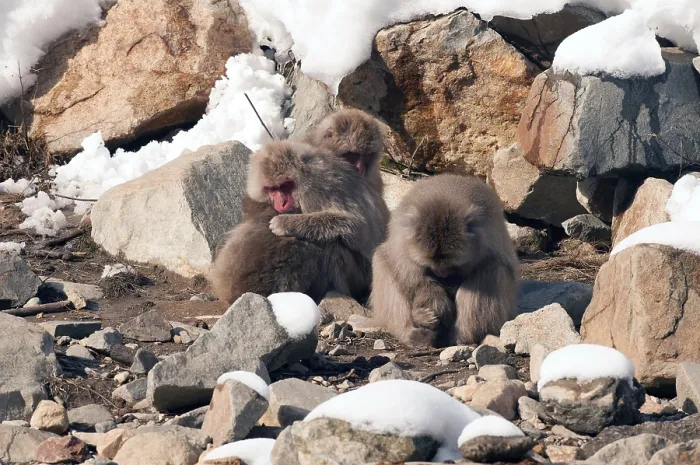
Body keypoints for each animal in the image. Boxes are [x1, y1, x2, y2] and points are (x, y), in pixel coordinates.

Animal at [209, 140, 387, 306]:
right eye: (272, 189)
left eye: (286, 185)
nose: (281, 203)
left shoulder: (318, 189)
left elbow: (357, 225)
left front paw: (285, 223)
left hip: (359, 275)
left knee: (332, 244)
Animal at [368, 174, 519, 348]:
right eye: (430, 265)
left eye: (452, 265)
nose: (441, 274)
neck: (443, 199)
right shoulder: (403, 236)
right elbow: (407, 271)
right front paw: (436, 304)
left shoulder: (489, 236)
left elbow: (493, 265)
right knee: (381, 260)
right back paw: (417, 331)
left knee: (492, 271)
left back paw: (460, 337)